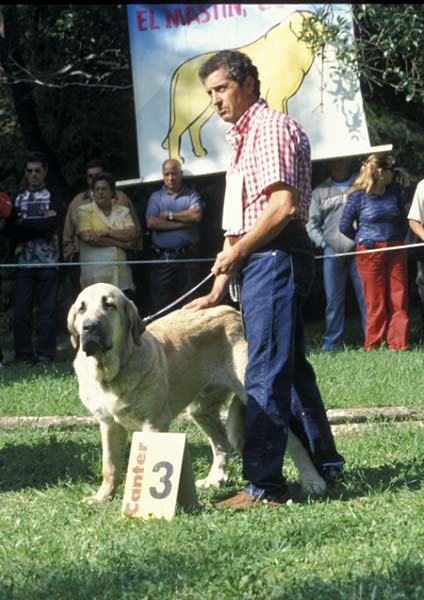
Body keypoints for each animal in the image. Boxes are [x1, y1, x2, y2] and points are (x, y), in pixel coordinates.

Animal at [68, 284, 326, 504]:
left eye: (109, 305)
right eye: (82, 308)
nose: (89, 327)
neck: (112, 373)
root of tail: (233, 312)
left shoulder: (154, 423)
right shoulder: (109, 424)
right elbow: (109, 466)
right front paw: (102, 497)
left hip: (254, 396)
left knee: (294, 441)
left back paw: (313, 481)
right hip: (200, 410)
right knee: (221, 443)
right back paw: (215, 479)